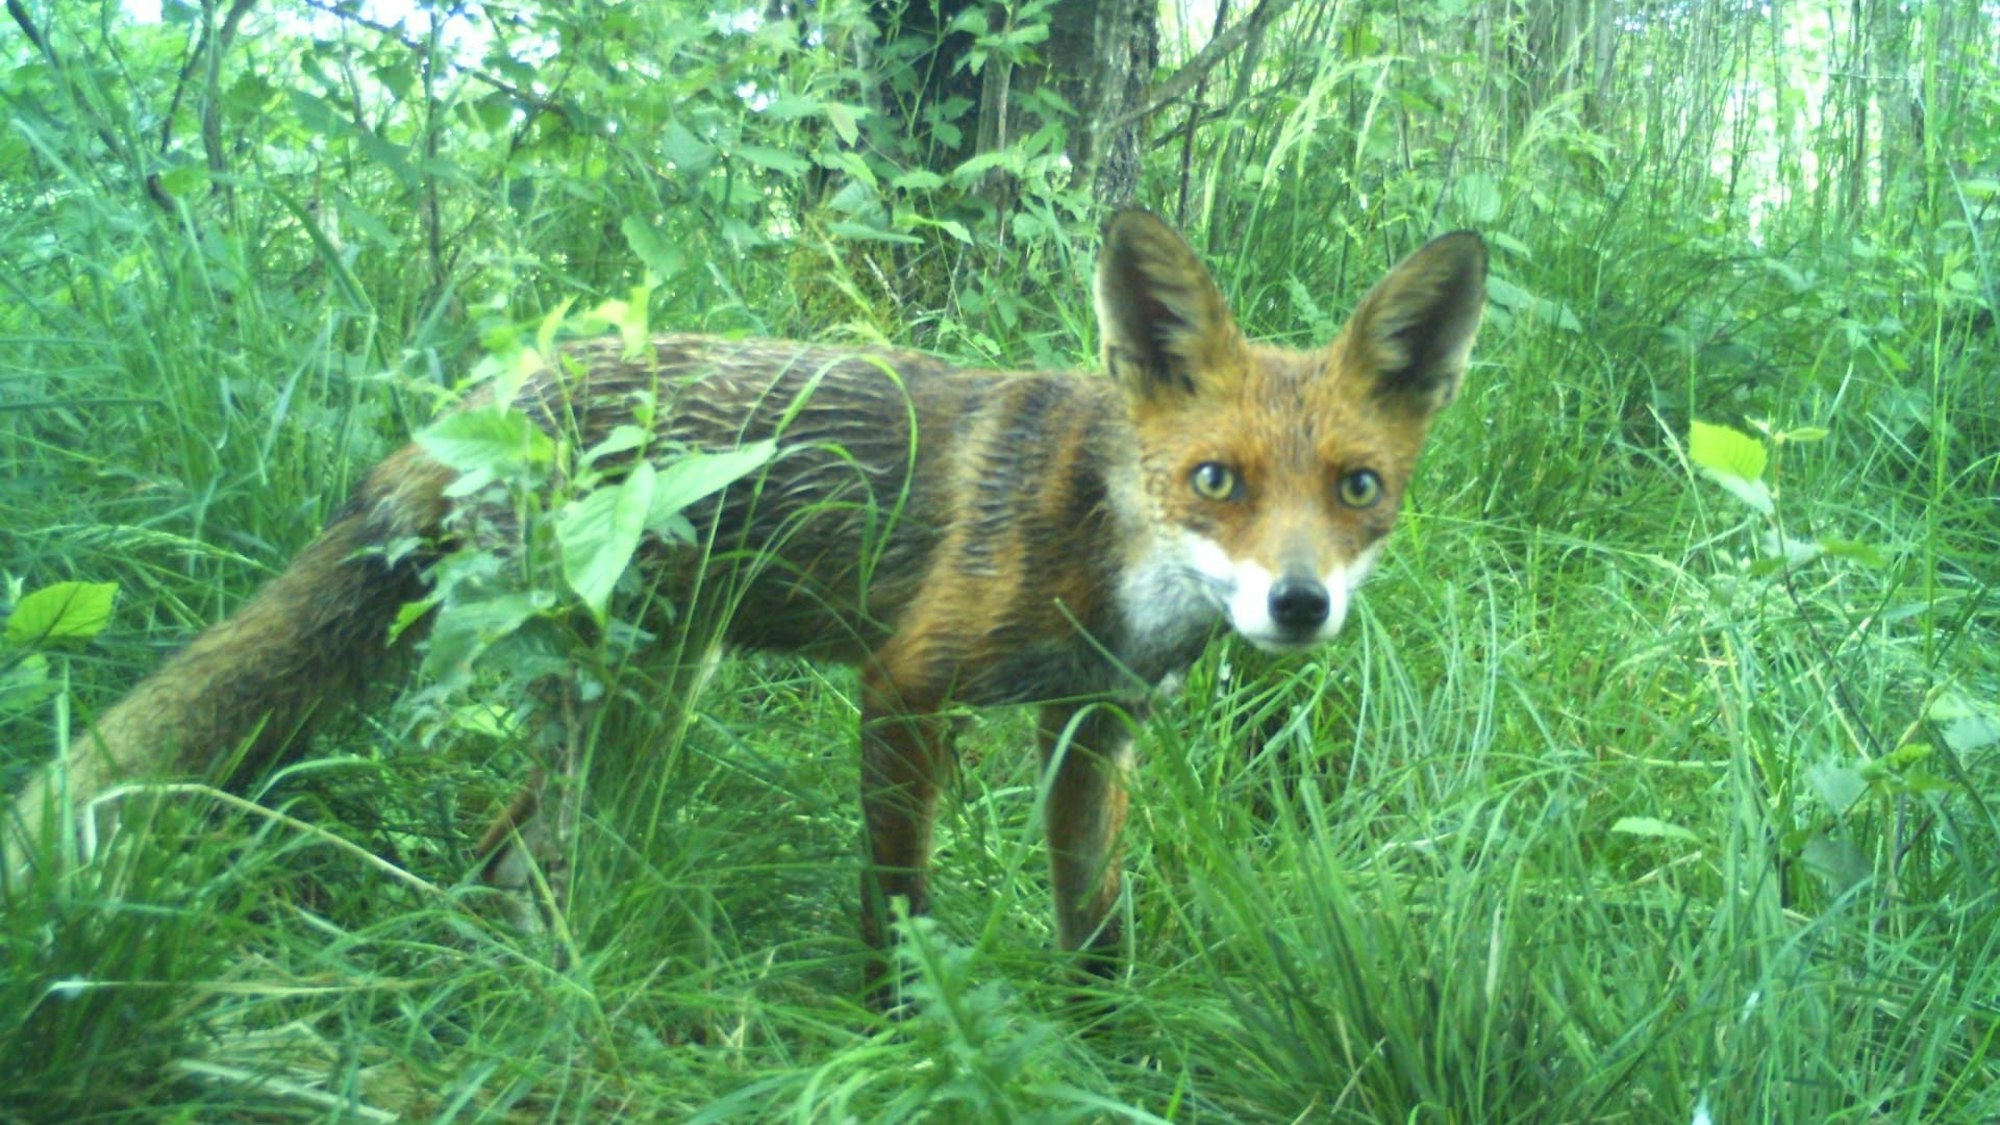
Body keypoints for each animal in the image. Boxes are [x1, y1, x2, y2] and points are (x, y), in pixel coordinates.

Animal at [6, 210, 1485, 987]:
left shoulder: (1089, 734)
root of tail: (482, 399)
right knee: (523, 856)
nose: (1297, 607)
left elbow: (1096, 929)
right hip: (610, 701)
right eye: (1215, 479)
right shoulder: (904, 689)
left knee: (497, 851)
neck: (1098, 542)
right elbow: (898, 904)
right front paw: (905, 1033)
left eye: (1357, 489)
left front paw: (1104, 1051)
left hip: (650, 698)